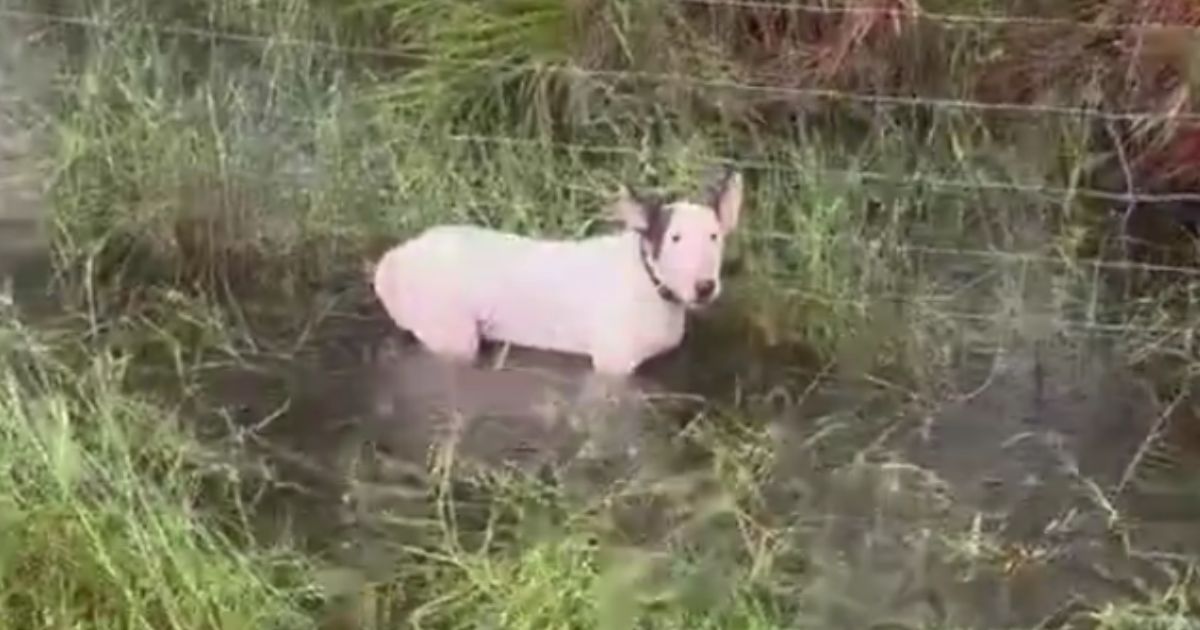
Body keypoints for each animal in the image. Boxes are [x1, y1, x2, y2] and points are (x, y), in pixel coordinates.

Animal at [369, 166, 739, 374]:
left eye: (714, 236)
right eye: (674, 237)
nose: (705, 286)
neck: (651, 284)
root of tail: (394, 259)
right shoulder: (612, 365)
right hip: (452, 334)